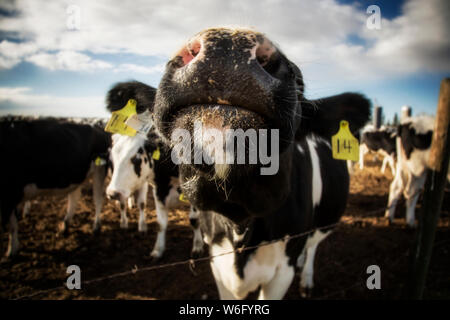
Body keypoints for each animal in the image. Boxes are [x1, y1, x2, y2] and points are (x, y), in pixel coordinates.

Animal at [0, 117, 111, 258]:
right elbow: (13, 222)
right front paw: (12, 249)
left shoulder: (10, 193)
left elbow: (11, 225)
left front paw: (11, 251)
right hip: (76, 175)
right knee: (74, 197)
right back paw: (65, 225)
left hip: (99, 170)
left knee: (97, 198)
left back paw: (96, 227)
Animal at [104, 81, 203, 258]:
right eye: (112, 159)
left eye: (136, 158)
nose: (112, 193)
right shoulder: (159, 187)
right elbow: (160, 223)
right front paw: (157, 250)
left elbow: (195, 219)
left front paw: (198, 246)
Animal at [151, 27, 370, 300]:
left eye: (300, 86)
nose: (228, 49)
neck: (238, 221)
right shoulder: (217, 264)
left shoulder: (282, 270)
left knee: (312, 247)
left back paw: (307, 279)